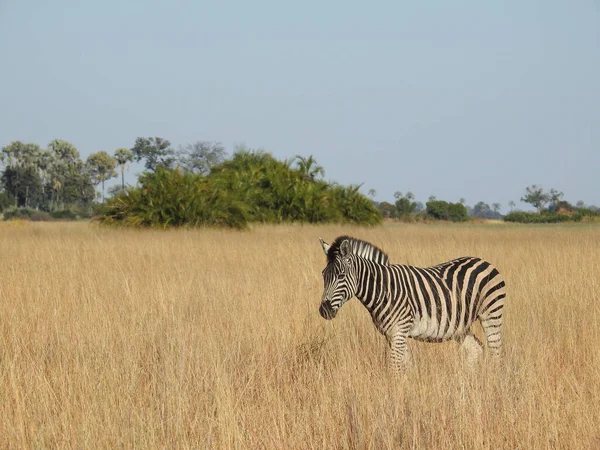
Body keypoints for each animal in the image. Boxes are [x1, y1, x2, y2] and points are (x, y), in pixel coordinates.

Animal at [318, 234, 506, 370]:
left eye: (341, 276)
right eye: (323, 274)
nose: (324, 310)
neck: (384, 290)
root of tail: (483, 261)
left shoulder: (399, 330)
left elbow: (394, 366)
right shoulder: (393, 334)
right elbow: (405, 365)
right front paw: (407, 389)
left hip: (491, 314)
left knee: (496, 352)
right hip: (460, 326)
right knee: (476, 349)